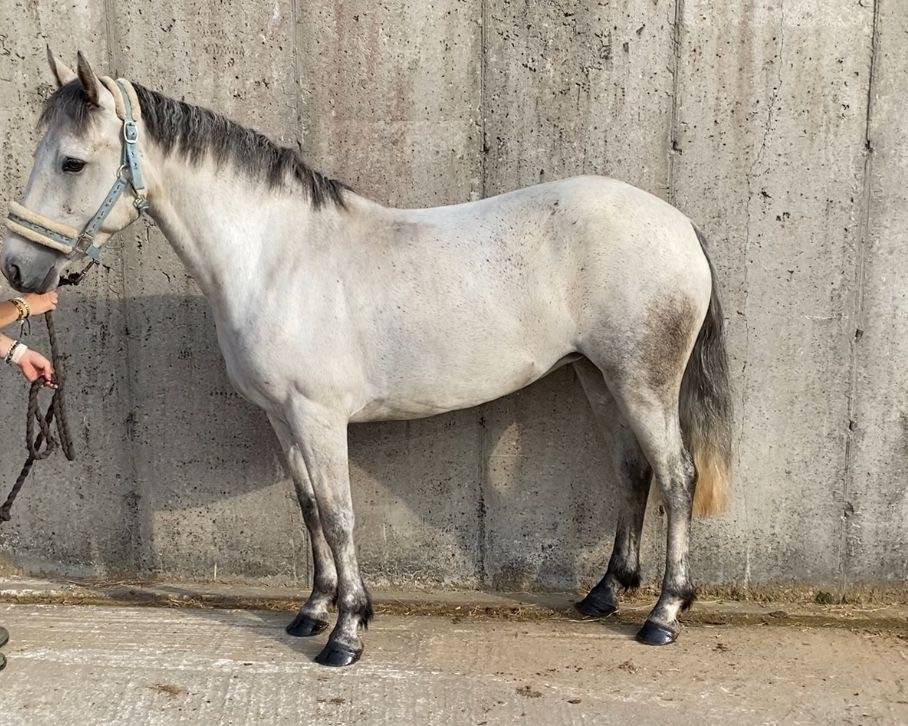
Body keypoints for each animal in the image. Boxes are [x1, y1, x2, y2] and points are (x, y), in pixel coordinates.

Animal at [1, 50, 733, 667]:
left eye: (71, 162)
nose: (17, 270)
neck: (275, 257)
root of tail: (678, 225)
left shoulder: (319, 417)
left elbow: (338, 514)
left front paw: (346, 633)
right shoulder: (281, 419)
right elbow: (307, 508)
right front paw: (311, 611)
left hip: (642, 384)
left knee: (677, 477)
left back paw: (664, 614)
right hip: (598, 380)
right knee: (632, 470)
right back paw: (604, 594)